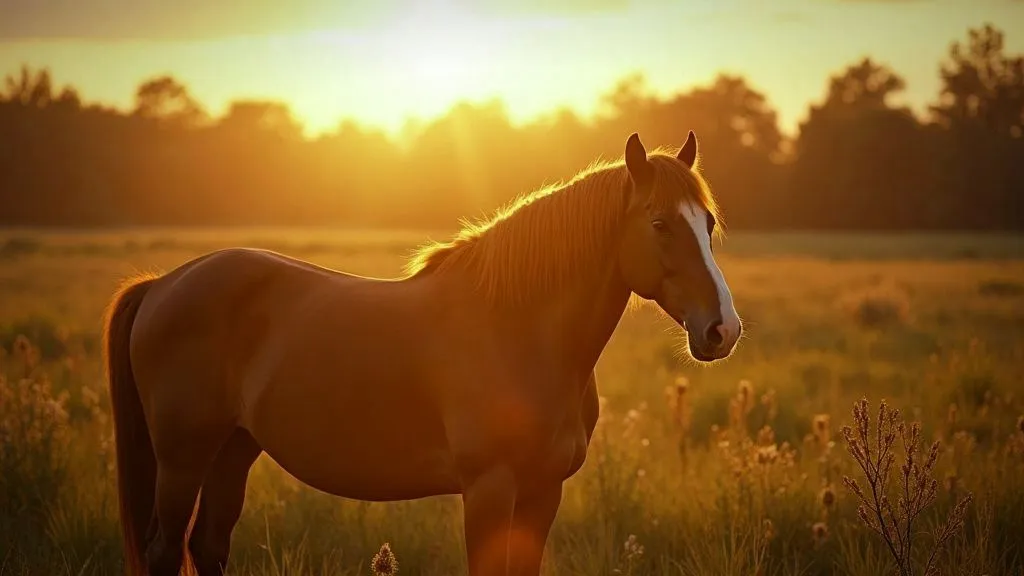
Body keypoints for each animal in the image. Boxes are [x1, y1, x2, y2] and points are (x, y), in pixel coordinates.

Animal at [104, 130, 742, 576]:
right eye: (659, 223)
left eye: (708, 223)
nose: (723, 330)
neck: (518, 334)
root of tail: (162, 285)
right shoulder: (489, 489)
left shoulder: (544, 490)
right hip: (182, 459)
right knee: (165, 551)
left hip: (233, 449)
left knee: (208, 546)